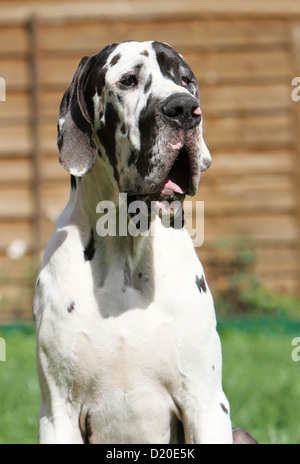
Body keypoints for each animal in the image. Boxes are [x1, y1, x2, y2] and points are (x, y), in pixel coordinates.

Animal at [32, 41, 234, 444]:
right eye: (128, 80)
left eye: (185, 80)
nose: (184, 109)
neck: (127, 245)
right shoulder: (58, 412)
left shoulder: (206, 404)